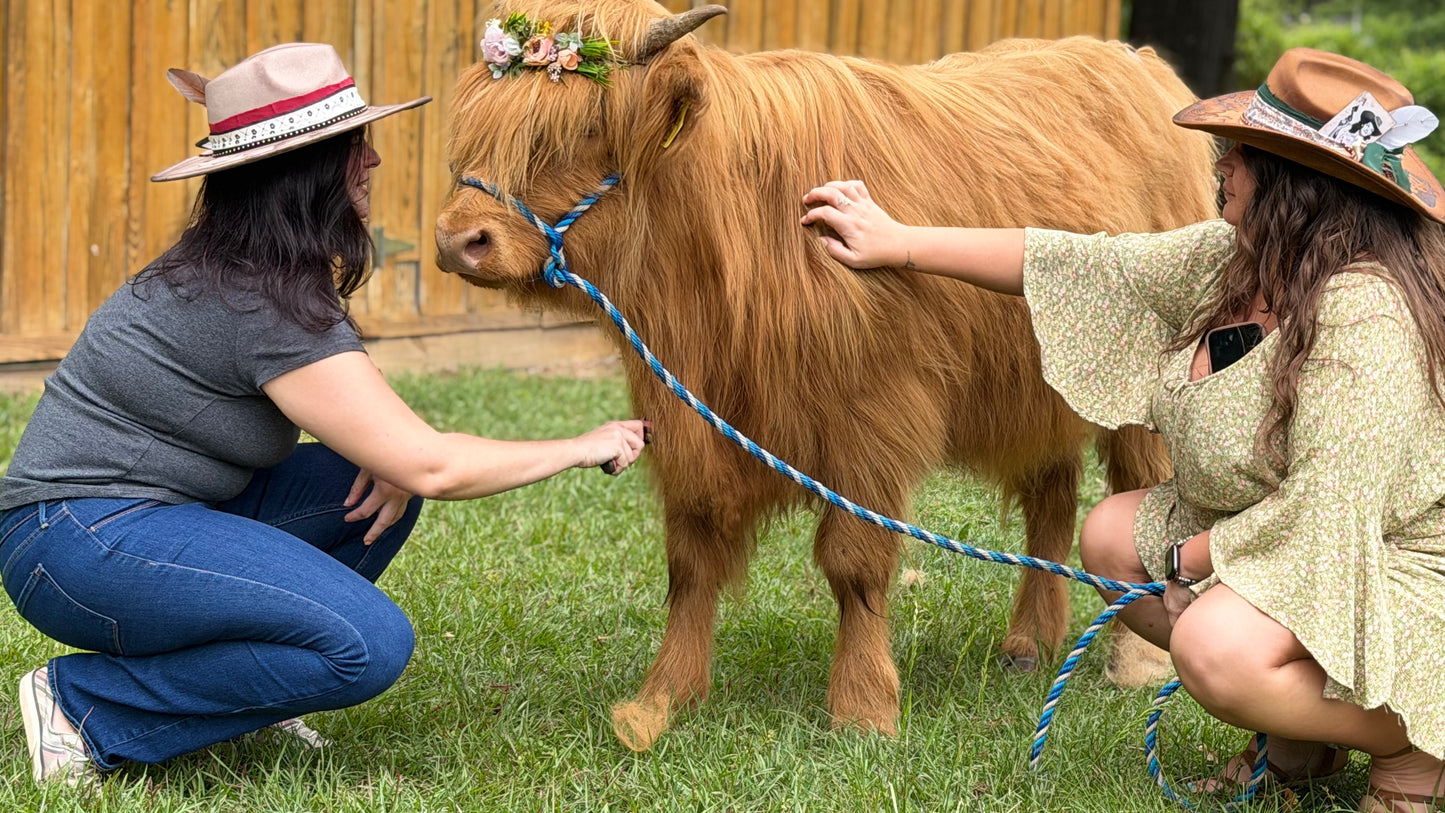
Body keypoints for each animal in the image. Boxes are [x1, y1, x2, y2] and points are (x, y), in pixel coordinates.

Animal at [434, 0, 1218, 752]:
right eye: (473, 125)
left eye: (587, 126)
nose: (456, 241)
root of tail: (1130, 60)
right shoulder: (688, 421)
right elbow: (690, 561)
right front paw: (660, 701)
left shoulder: (870, 419)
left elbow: (854, 562)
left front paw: (864, 709)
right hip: (1034, 394)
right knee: (1050, 499)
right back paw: (1027, 644)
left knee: (1136, 491)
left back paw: (1133, 662)